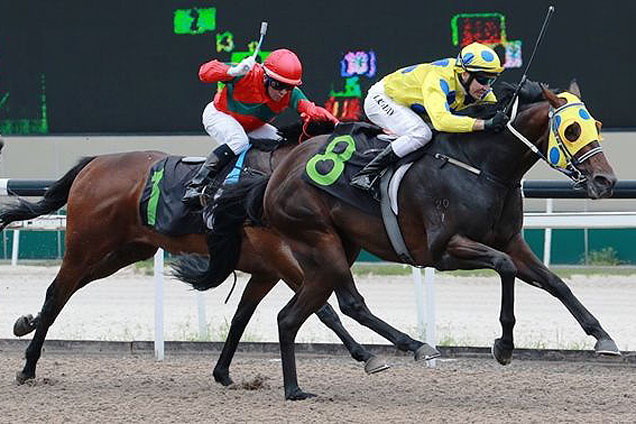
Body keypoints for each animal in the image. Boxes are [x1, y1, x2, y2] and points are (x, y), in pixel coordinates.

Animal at [0, 121, 438, 384]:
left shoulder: (267, 269)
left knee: (67, 292)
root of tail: (94, 163)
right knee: (58, 290)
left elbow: (243, 316)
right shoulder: (282, 256)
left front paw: (223, 371)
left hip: (122, 252)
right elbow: (326, 309)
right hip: (86, 244)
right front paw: (369, 354)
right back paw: (28, 365)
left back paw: (25, 324)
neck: (277, 178)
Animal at [191, 80, 624, 400]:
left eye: (598, 125)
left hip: (338, 247)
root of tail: (274, 176)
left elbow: (555, 282)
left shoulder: (512, 241)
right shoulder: (443, 250)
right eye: (571, 129)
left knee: (304, 313)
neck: (481, 166)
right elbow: (503, 268)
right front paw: (503, 345)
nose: (606, 181)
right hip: (319, 241)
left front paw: (602, 336)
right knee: (325, 308)